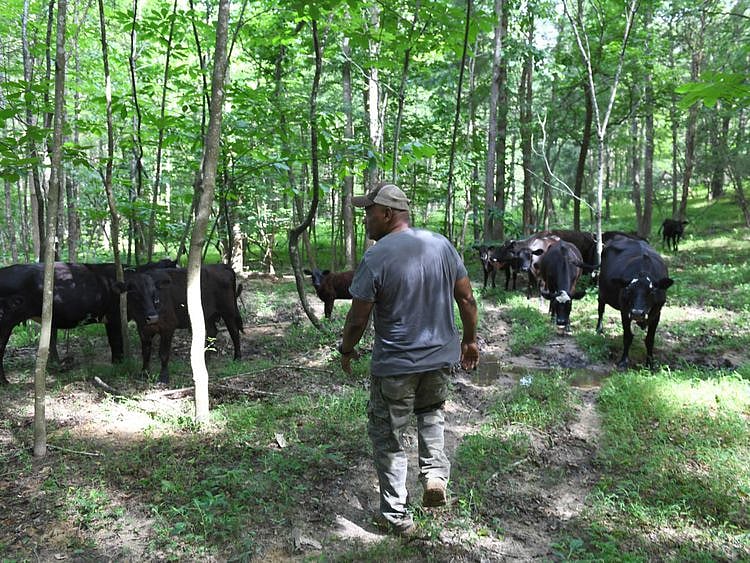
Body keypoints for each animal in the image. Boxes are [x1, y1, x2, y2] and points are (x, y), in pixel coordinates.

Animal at [0, 262, 162, 385]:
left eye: (154, 294)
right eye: (134, 293)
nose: (153, 317)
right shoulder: (114, 318)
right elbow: (116, 343)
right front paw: (118, 366)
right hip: (5, 322)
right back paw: (5, 382)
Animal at [596, 235, 674, 369]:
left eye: (652, 291)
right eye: (628, 290)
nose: (637, 313)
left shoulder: (657, 312)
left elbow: (650, 339)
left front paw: (650, 363)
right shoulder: (625, 311)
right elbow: (627, 336)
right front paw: (623, 361)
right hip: (602, 290)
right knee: (601, 308)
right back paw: (599, 329)